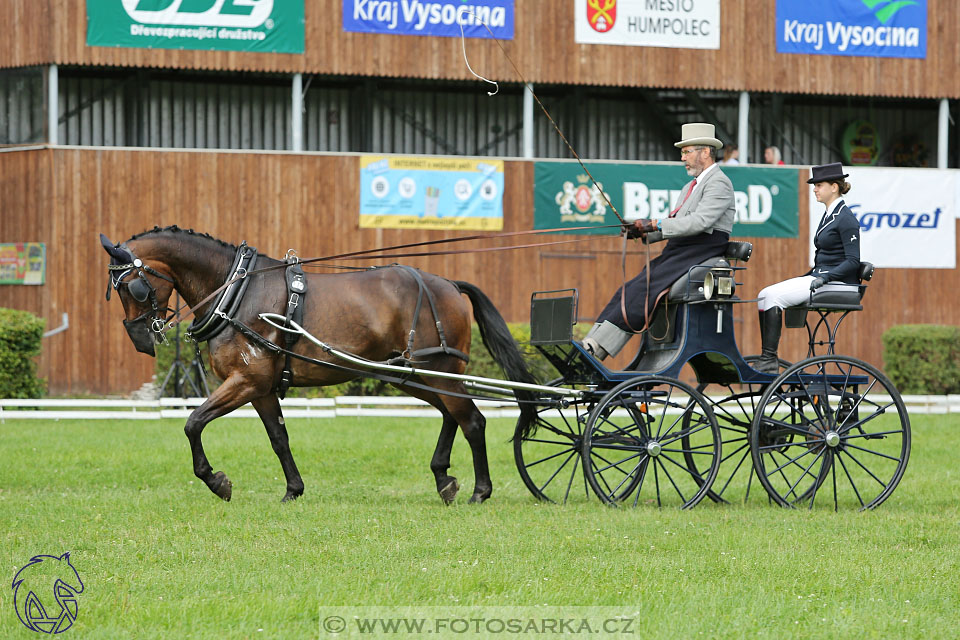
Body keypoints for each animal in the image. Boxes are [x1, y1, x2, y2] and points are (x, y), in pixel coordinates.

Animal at [100, 228, 536, 502]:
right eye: (115, 290)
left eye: (132, 287)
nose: (140, 340)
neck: (237, 290)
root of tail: (447, 284)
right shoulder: (260, 388)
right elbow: (278, 438)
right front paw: (293, 489)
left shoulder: (246, 380)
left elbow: (193, 423)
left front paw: (217, 481)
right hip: (410, 374)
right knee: (452, 415)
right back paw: (444, 478)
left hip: (435, 370)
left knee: (472, 420)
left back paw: (480, 490)